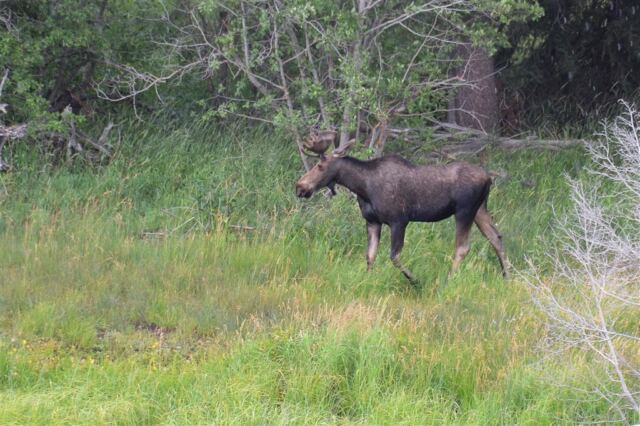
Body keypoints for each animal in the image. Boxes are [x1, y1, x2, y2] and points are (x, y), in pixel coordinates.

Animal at [295, 134, 509, 285]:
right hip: (480, 209)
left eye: (320, 166)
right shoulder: (372, 221)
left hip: (465, 211)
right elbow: (370, 256)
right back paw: (508, 277)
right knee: (496, 237)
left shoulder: (399, 220)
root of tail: (489, 178)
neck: (363, 187)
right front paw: (367, 279)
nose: (300, 187)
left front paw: (415, 280)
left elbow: (394, 256)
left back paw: (448, 279)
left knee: (463, 247)